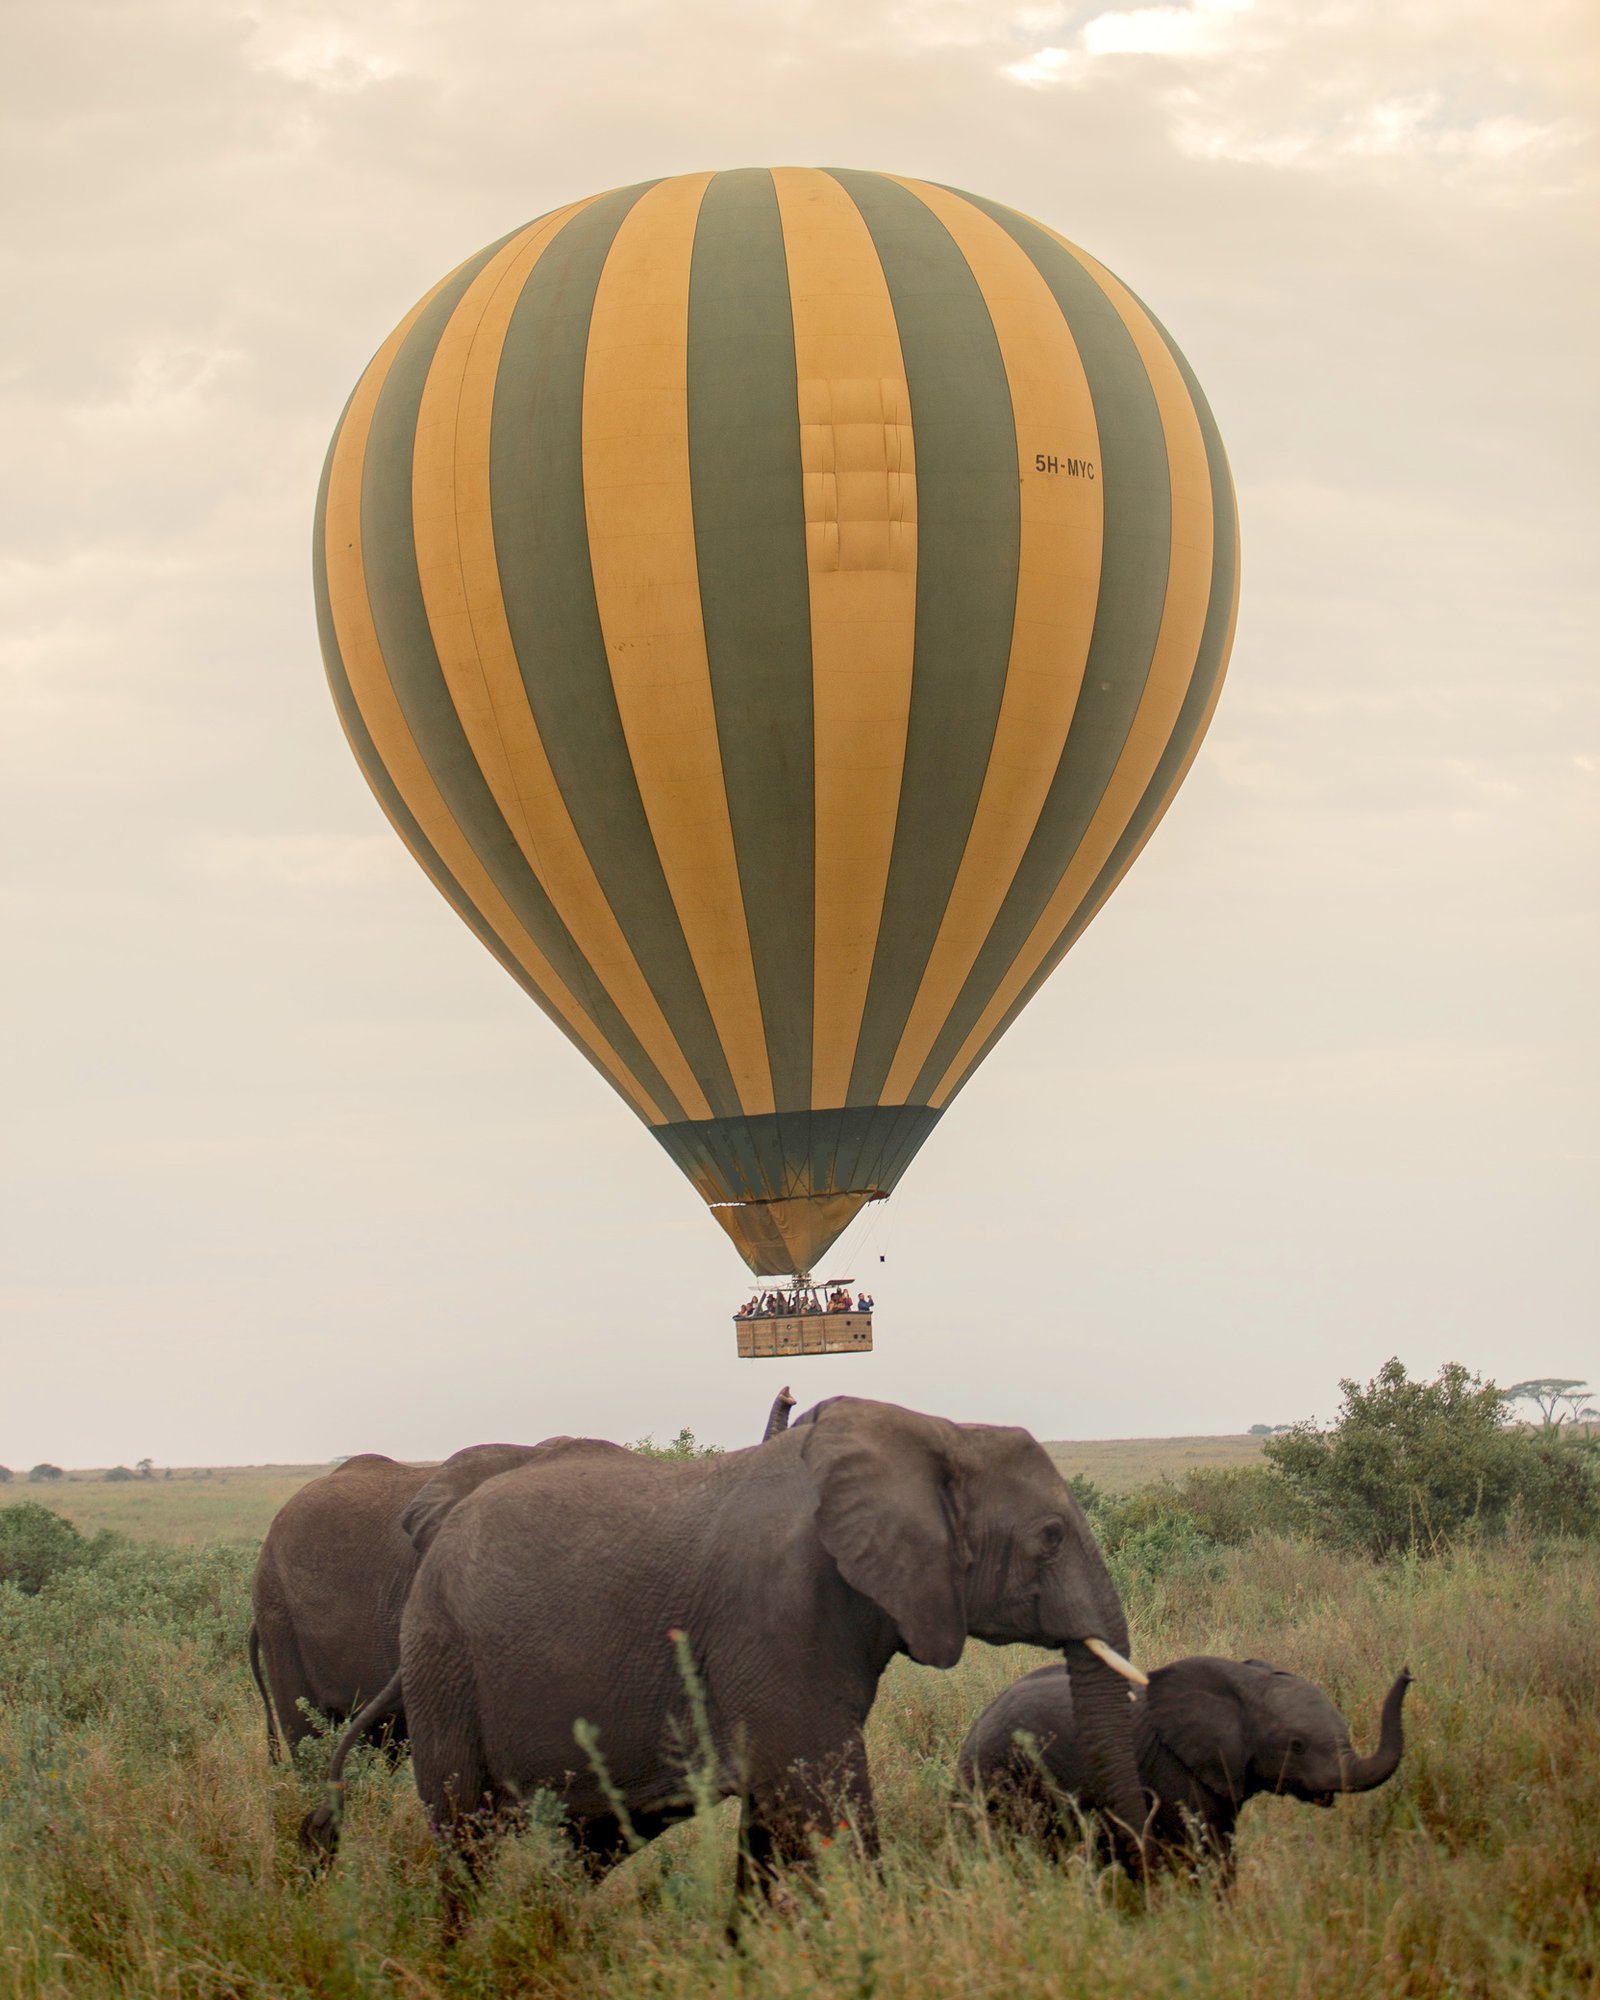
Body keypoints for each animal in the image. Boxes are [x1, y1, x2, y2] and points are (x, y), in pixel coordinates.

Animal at [400, 1400, 1152, 1912]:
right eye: (1051, 1537)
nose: (1131, 1875)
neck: (933, 1431)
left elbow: (775, 1816)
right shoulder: (775, 1612)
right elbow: (819, 1796)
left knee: (583, 1843)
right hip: (439, 1658)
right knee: (466, 1832)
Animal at [956, 1648, 1408, 1864]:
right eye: (1296, 1745)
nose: (1408, 1673)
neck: (1244, 1683)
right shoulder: (1172, 1769)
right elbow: (1202, 1850)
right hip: (1001, 1779)